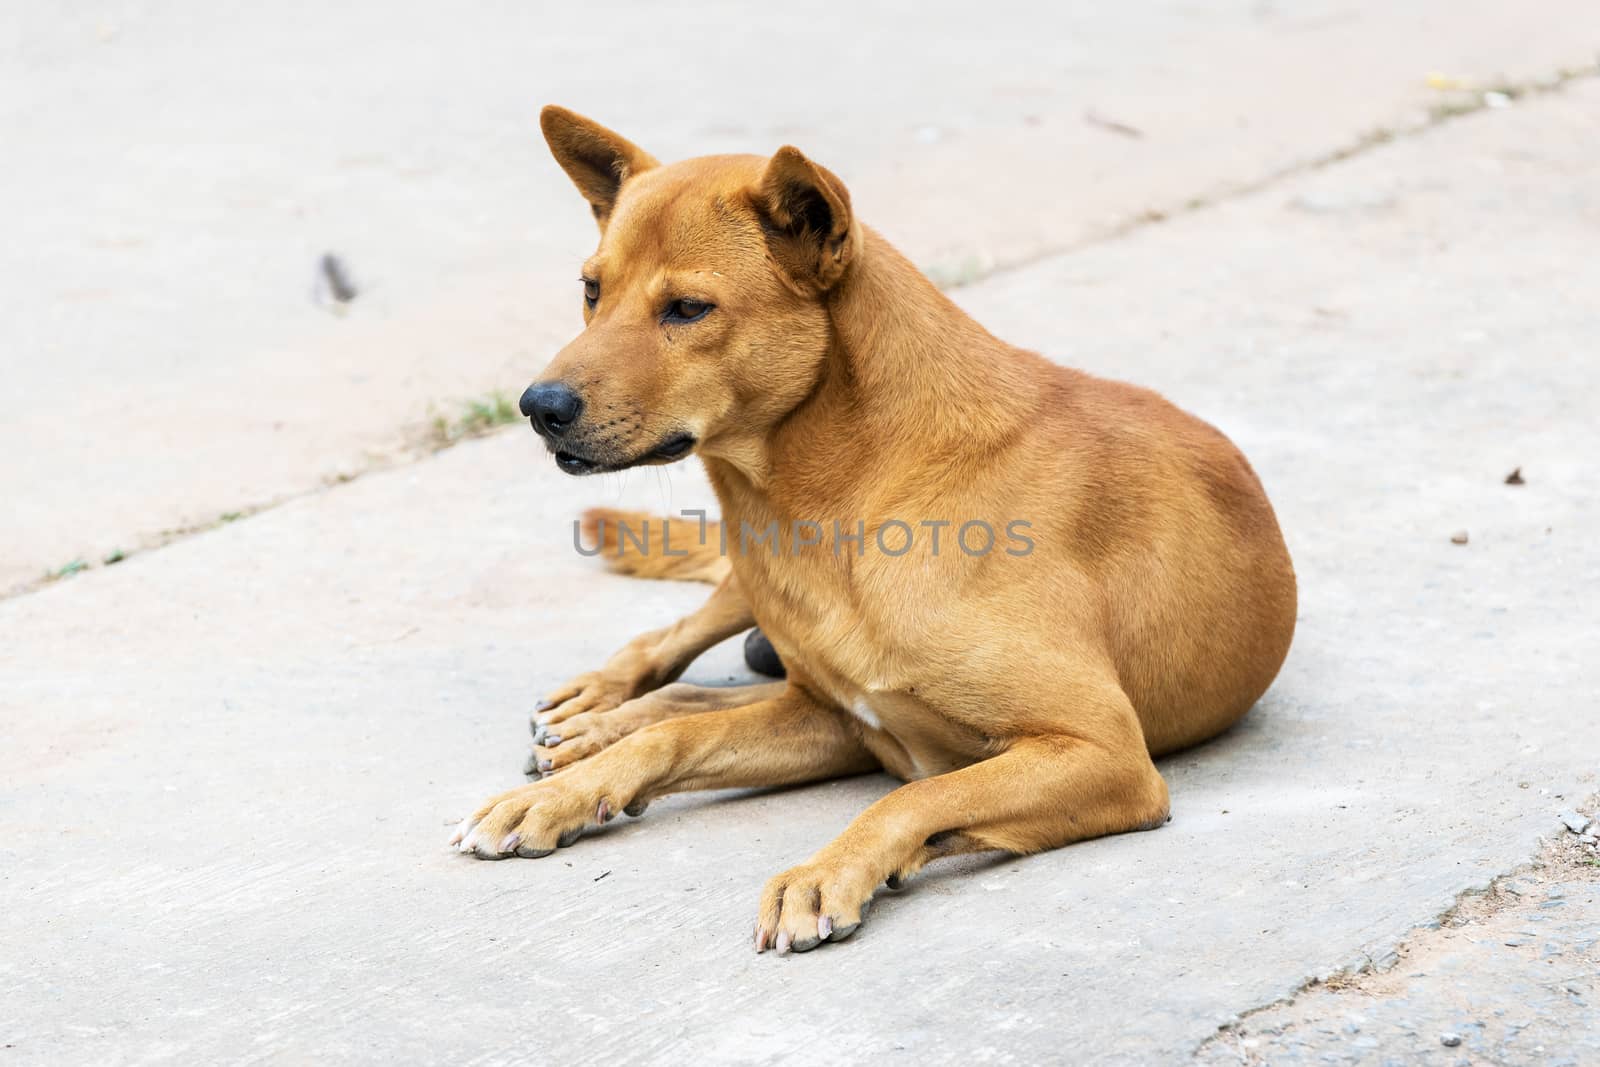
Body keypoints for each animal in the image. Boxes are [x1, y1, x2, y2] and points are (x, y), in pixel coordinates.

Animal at [451, 108, 1299, 953]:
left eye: (688, 309)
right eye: (591, 291)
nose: (538, 406)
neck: (848, 495)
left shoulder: (1103, 752)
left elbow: (913, 796)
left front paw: (833, 869)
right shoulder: (841, 718)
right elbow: (676, 739)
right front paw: (570, 790)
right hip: (745, 599)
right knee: (677, 649)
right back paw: (594, 713)